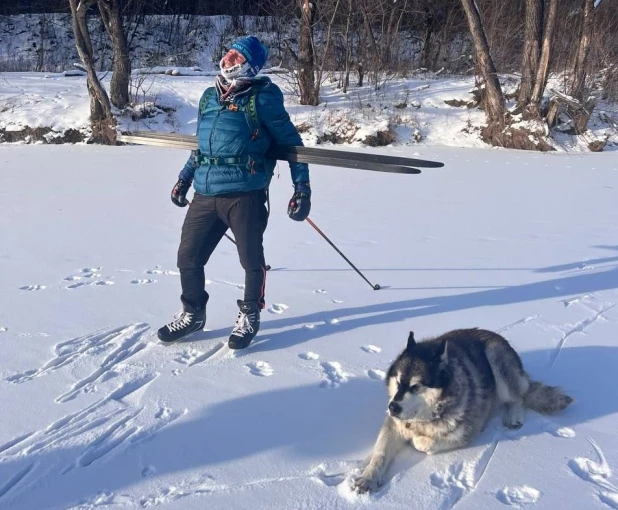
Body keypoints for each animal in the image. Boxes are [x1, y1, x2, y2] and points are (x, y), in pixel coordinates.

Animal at [352, 328, 572, 492]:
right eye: (398, 382)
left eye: (416, 386)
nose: (392, 407)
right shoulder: (393, 425)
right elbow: (380, 452)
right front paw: (368, 476)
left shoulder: (465, 433)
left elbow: (425, 444)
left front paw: (417, 440)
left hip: (496, 356)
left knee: (518, 397)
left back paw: (513, 415)